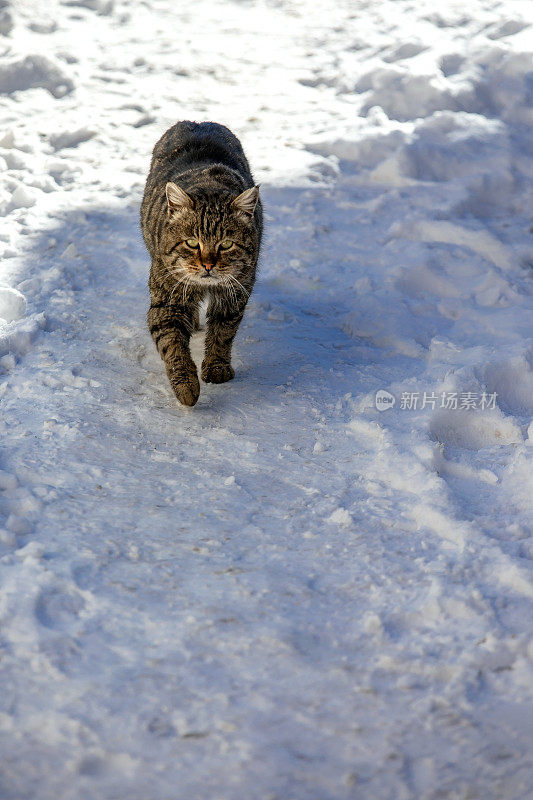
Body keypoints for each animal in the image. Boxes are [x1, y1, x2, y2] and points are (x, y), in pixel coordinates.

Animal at [139, 120, 260, 406]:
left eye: (226, 245)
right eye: (192, 242)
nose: (208, 265)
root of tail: (197, 121)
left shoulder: (235, 292)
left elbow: (222, 333)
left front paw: (216, 367)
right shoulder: (167, 301)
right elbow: (172, 345)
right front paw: (186, 386)